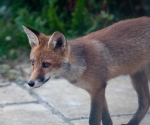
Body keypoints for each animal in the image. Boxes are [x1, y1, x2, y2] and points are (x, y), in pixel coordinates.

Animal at [22, 16, 150, 125]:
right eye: (32, 62)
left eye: (46, 64)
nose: (30, 83)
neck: (83, 64)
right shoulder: (97, 89)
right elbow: (106, 119)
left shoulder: (97, 89)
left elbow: (93, 119)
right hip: (137, 77)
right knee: (145, 102)